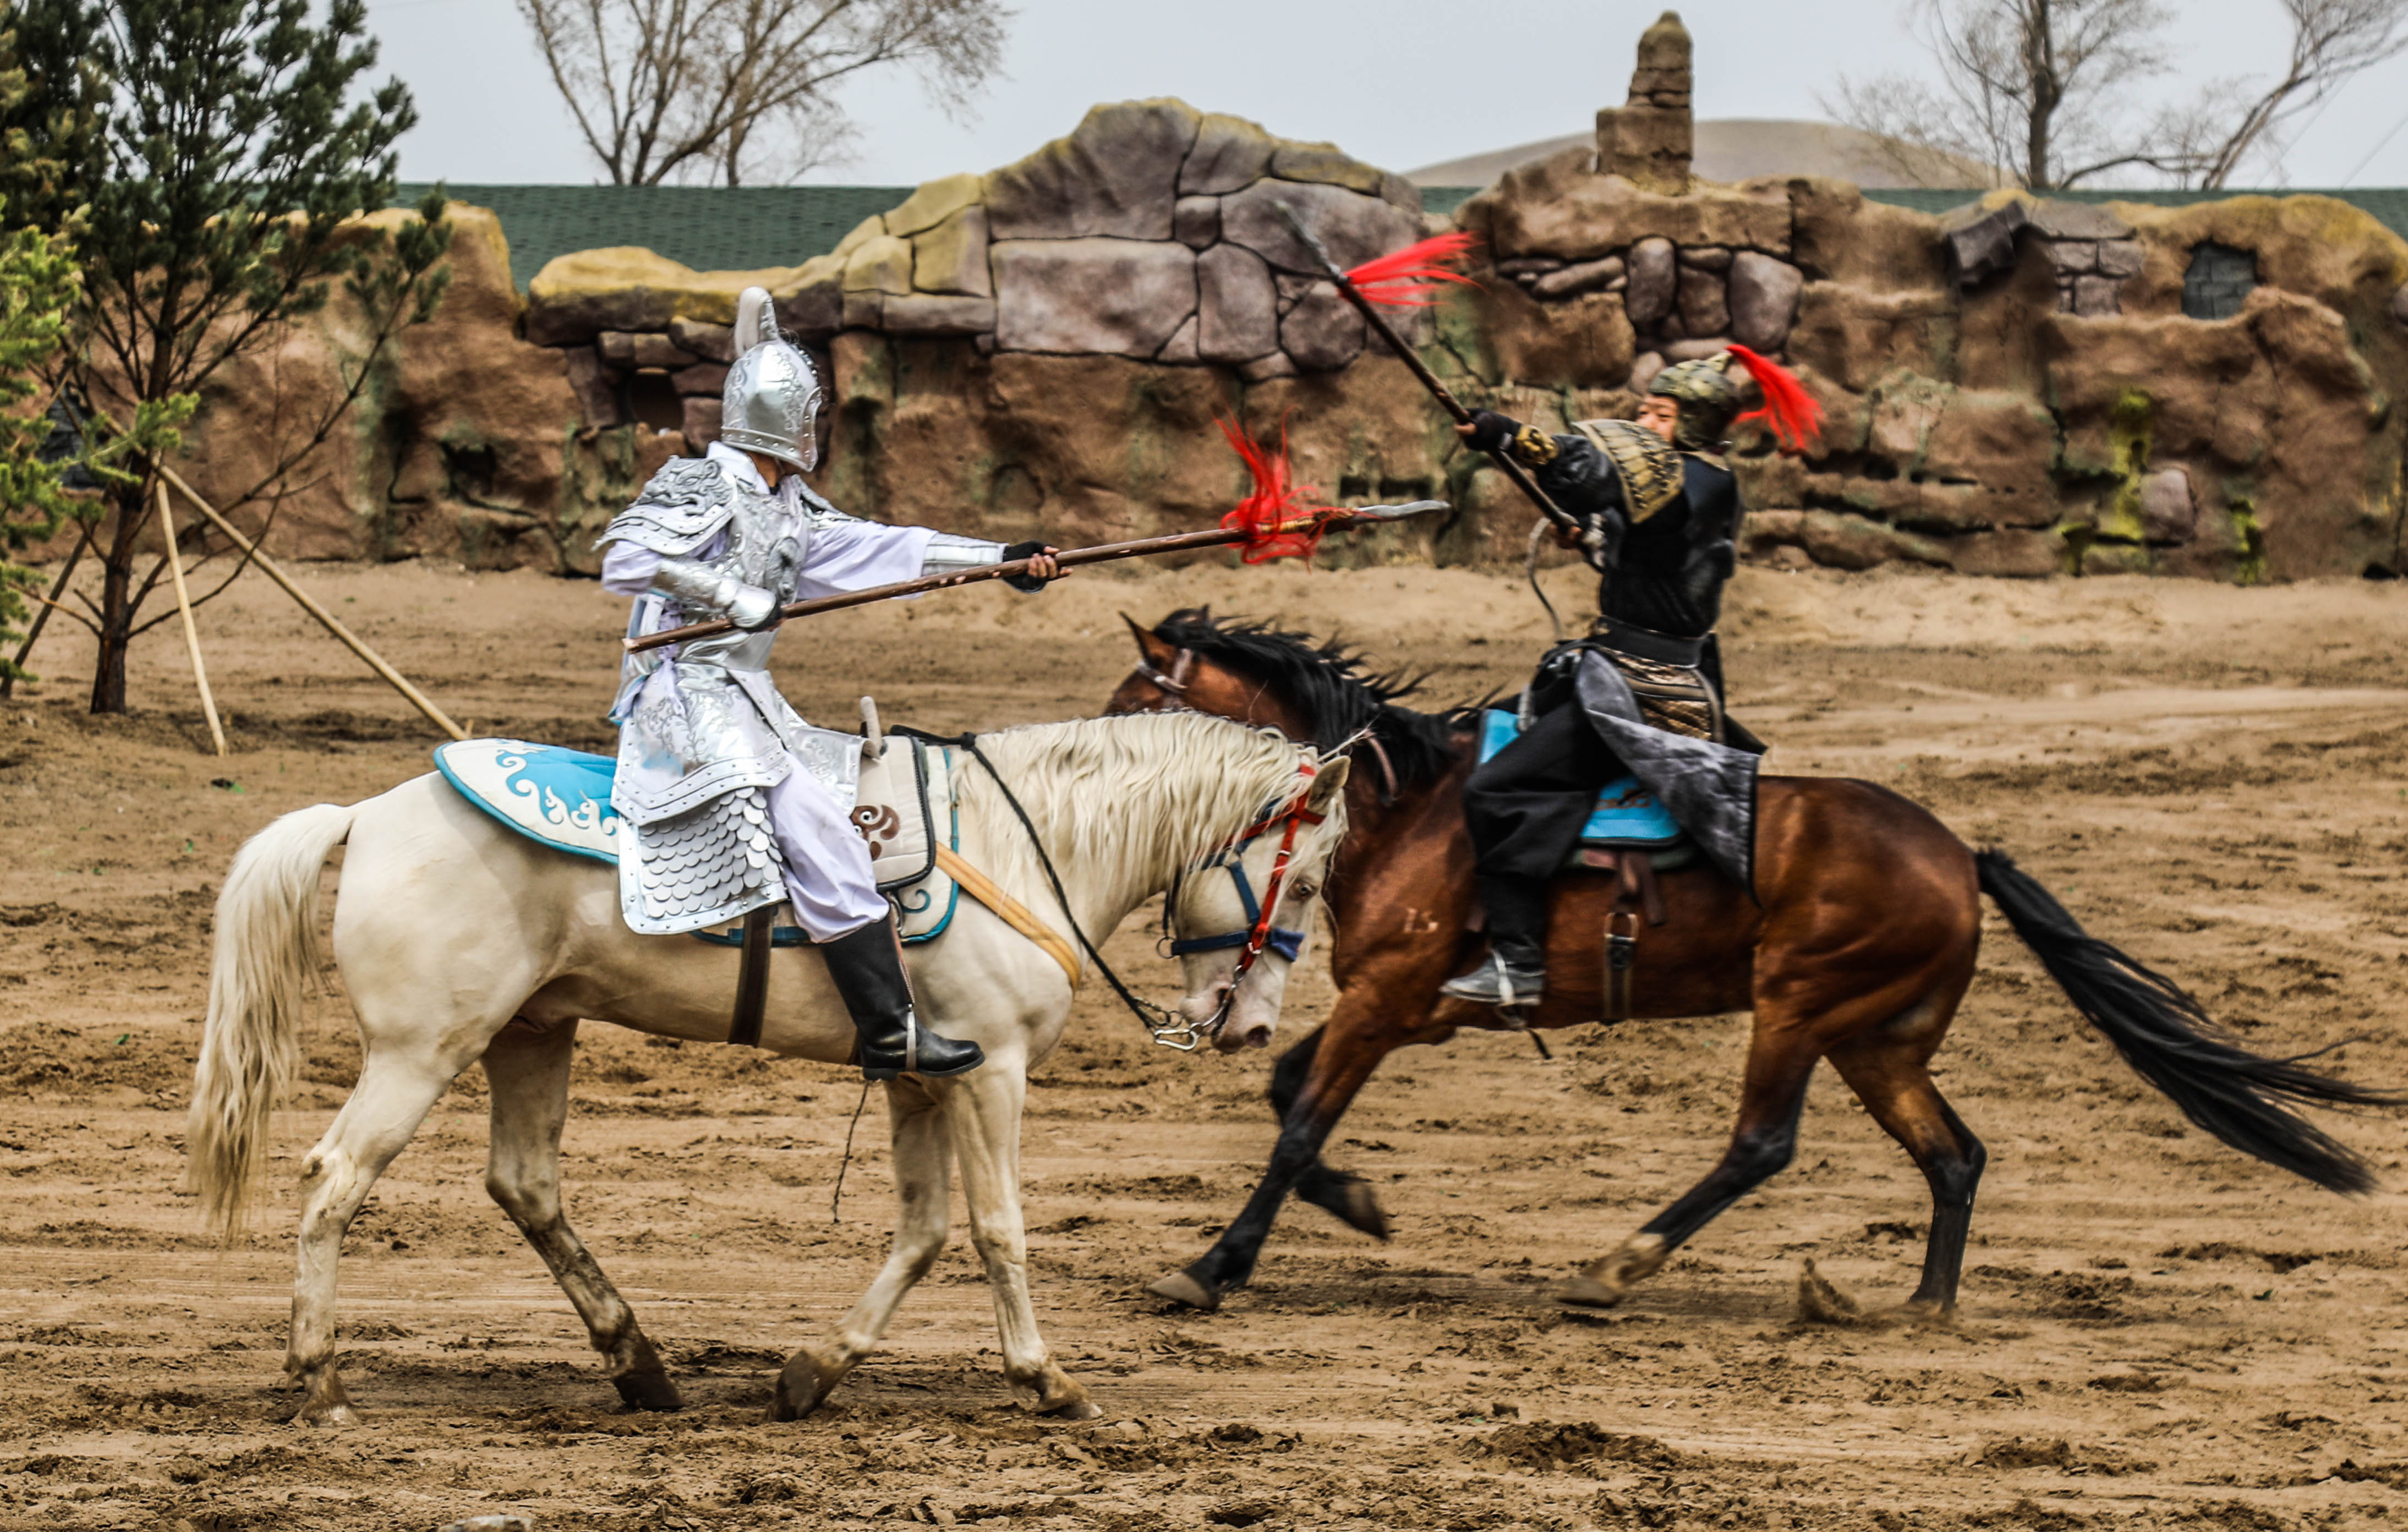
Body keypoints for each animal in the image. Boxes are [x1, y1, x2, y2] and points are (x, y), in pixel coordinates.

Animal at [183, 713, 1358, 1426]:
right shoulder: (993, 1073)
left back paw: (639, 1361)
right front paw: (1046, 1377)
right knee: (335, 1180)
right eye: (1304, 880)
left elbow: (924, 1231)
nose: (1250, 1026)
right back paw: (321, 1375)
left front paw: (813, 1370)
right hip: (424, 1048)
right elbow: (996, 1227)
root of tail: (366, 814)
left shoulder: (920, 1076)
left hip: (532, 1032)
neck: (1024, 844)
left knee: (524, 1182)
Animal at [1103, 609, 2388, 1320]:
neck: (1409, 804)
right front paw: (1360, 1206)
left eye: (1132, 696)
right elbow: (1294, 1100)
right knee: (1955, 1156)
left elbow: (1295, 1124)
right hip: (1876, 1040)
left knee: (1762, 1144)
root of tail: (1958, 855)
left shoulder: (1388, 998)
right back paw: (1916, 1308)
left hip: (1800, 1010)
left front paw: (1215, 1264)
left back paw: (1618, 1268)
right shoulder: (1406, 1006)